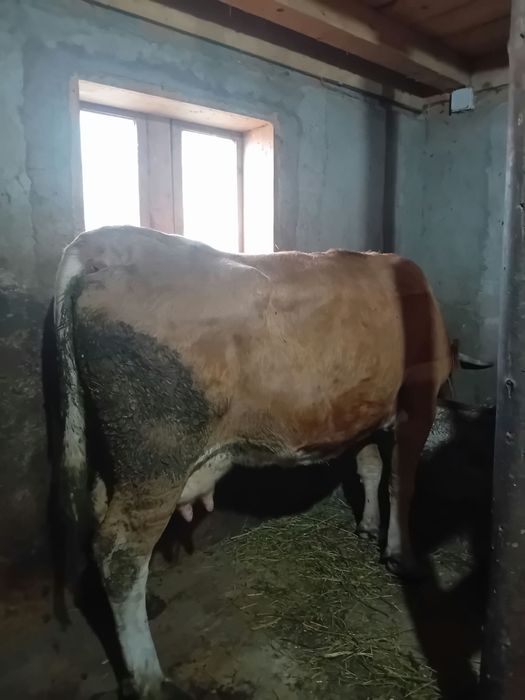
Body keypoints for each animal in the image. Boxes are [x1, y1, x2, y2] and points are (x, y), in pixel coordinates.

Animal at [53, 225, 490, 699]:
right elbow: (401, 481)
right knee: (121, 553)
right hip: (157, 454)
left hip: (116, 453)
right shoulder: (416, 405)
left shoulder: (364, 415)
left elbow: (370, 470)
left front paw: (369, 526)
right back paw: (149, 676)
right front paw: (401, 555)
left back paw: (147, 606)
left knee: (101, 525)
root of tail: (105, 243)